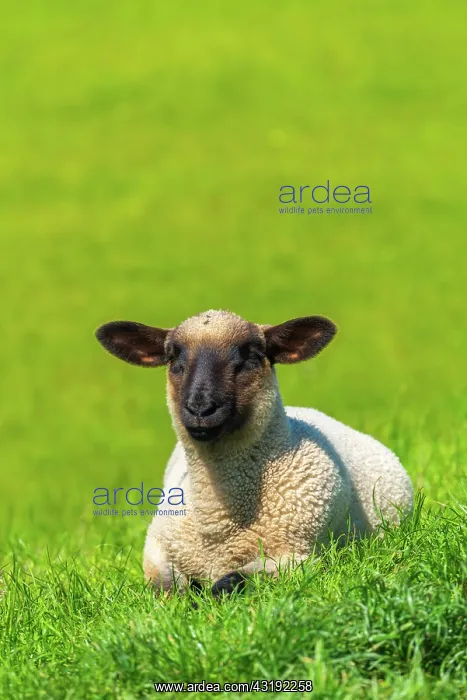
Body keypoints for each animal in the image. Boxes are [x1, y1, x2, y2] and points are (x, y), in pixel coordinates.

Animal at [95, 310, 413, 595]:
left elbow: (229, 583)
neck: (217, 524)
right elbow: (168, 588)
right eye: (173, 358)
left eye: (250, 356)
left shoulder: (297, 558)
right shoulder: (156, 552)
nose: (200, 409)